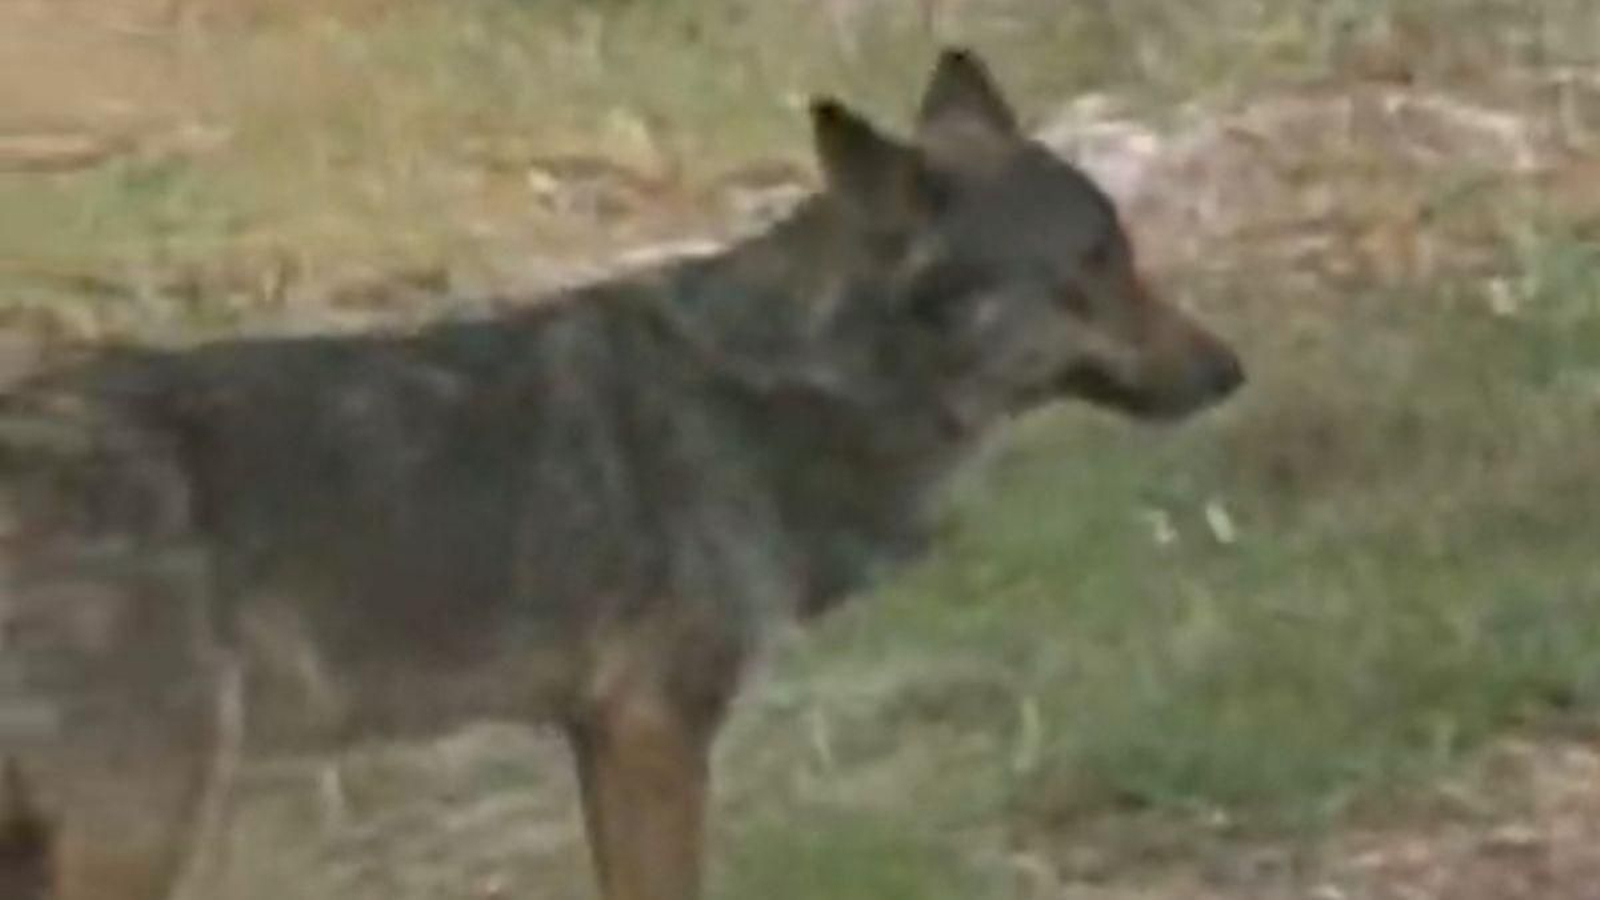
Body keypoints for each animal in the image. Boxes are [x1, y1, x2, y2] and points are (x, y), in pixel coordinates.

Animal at [0, 48, 1241, 900]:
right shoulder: (654, 730)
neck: (786, 386)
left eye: (1124, 254)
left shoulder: (601, 736)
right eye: (1092, 267)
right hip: (144, 823)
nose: (1231, 369)